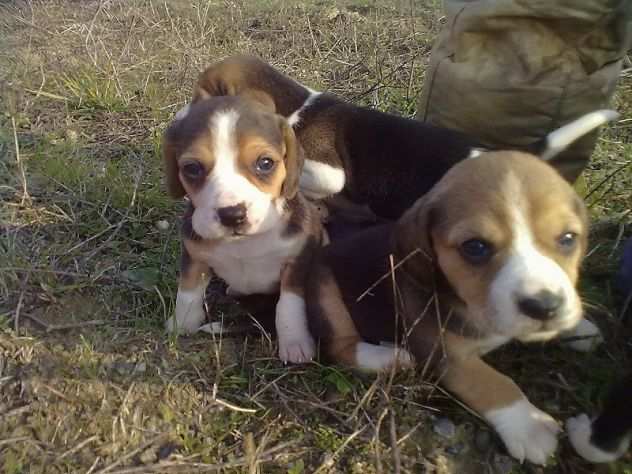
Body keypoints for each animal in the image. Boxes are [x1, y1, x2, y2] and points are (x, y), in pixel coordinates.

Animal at [163, 95, 324, 362]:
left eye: (265, 163)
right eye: (192, 168)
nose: (232, 215)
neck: (243, 243)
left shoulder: (298, 260)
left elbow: (289, 304)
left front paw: (295, 343)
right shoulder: (194, 254)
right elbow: (187, 292)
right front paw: (181, 324)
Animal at [304, 114, 616, 462]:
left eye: (568, 239)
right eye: (475, 247)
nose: (545, 306)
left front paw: (577, 328)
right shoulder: (445, 355)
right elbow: (491, 381)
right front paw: (529, 426)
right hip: (326, 290)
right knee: (340, 347)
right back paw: (390, 357)